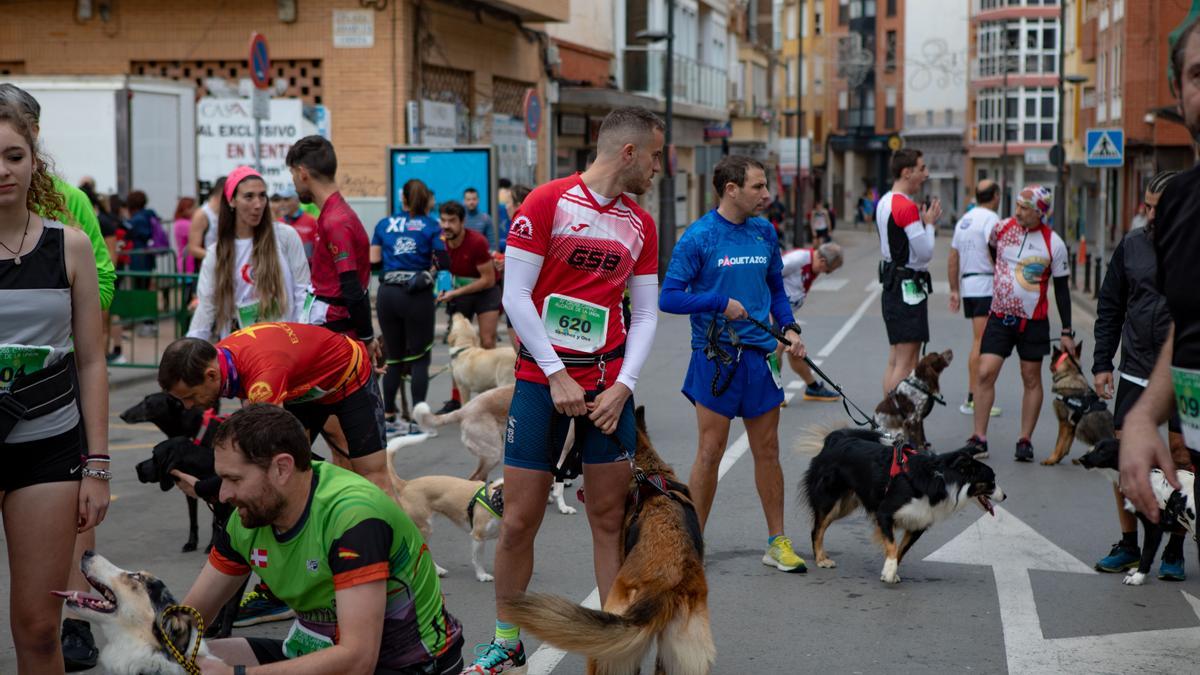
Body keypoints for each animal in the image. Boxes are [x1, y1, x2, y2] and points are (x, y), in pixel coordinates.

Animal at [801, 427, 1008, 581]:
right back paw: (821, 559)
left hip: (845, 504)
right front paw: (889, 571)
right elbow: (892, 546)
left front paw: (890, 571)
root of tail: (836, 439)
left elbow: (901, 550)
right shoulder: (884, 513)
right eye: (991, 481)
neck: (939, 479)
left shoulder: (919, 522)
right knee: (817, 529)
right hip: (829, 499)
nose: (1005, 496)